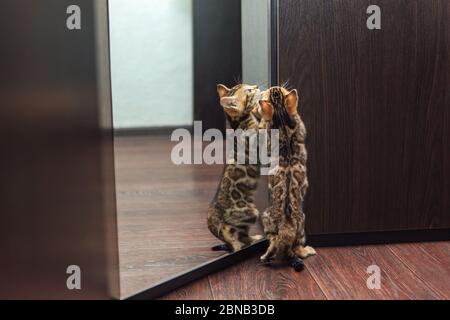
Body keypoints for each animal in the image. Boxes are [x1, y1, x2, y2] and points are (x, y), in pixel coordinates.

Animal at [256, 85, 316, 270]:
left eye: (278, 90)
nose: (273, 87)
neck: (282, 118)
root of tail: (287, 225)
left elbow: (261, 126)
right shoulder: (298, 123)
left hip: (269, 220)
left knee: (278, 244)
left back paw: (266, 257)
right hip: (300, 226)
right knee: (294, 248)